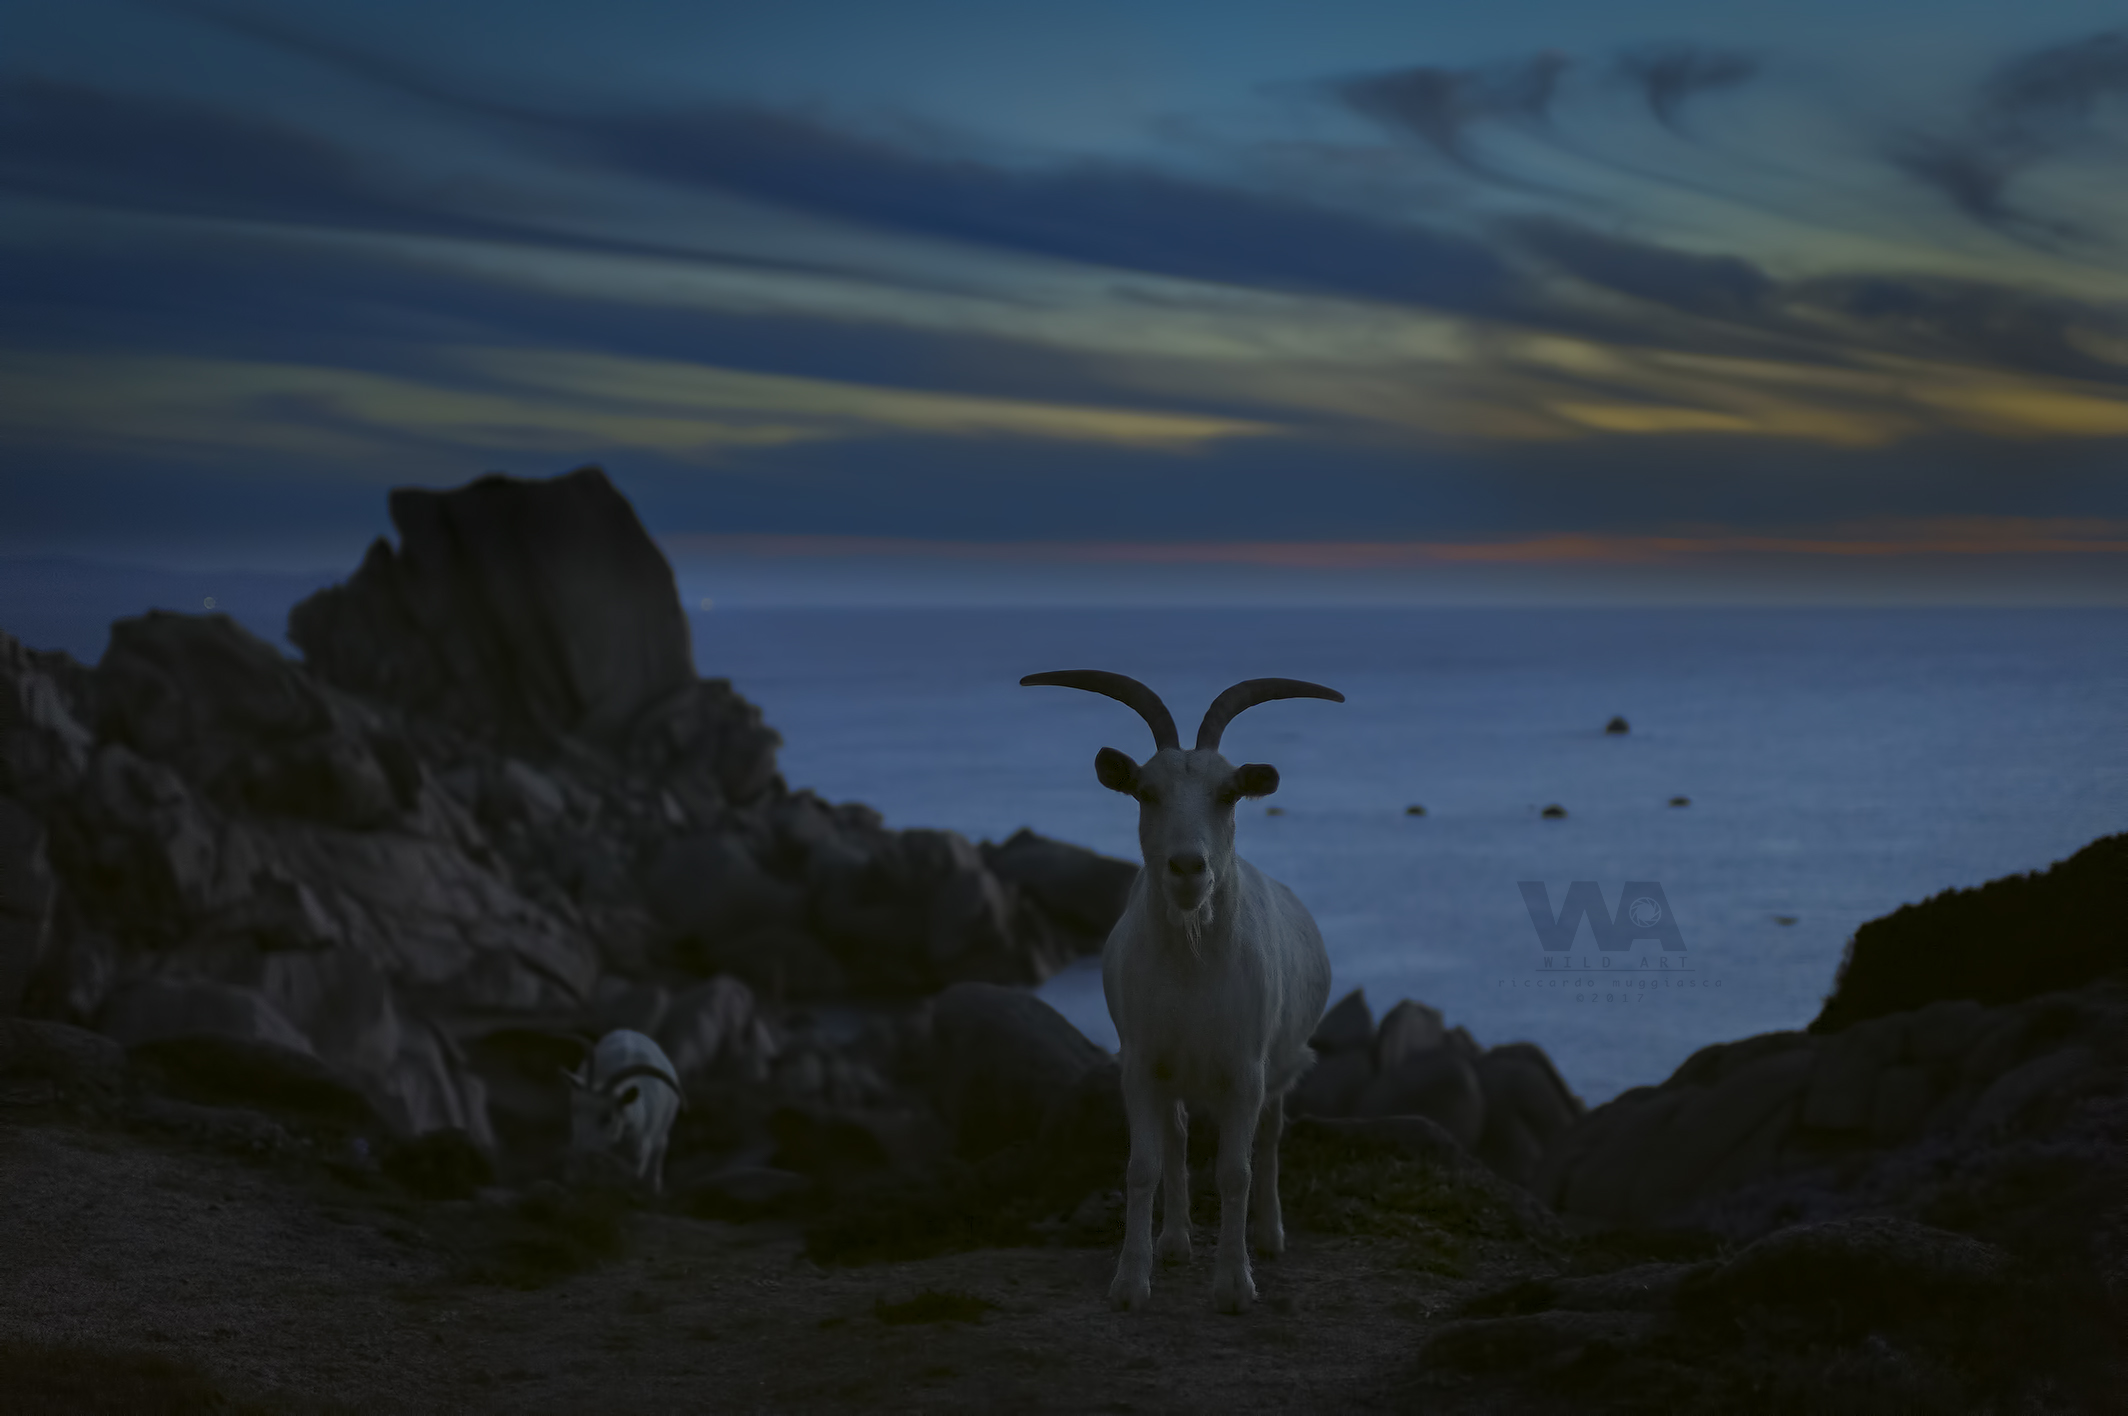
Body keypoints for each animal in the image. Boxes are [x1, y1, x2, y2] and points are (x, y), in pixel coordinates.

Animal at [563, 1028, 686, 1194]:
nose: (581, 1152)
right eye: (575, 1109)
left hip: (663, 1130)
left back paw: (655, 1187)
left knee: (661, 1148)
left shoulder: (639, 1154)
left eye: (607, 1117)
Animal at [1023, 670, 1341, 1312]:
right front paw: (1130, 1283)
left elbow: (1236, 1171)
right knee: (1177, 1139)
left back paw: (1268, 1237)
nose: (1188, 868)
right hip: (1176, 1076)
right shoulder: (1142, 1066)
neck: (1194, 968)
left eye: (1230, 793)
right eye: (1145, 792)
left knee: (1270, 1138)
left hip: (1280, 1067)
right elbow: (1143, 1165)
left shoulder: (1246, 1072)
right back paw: (1173, 1244)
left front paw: (1235, 1286)